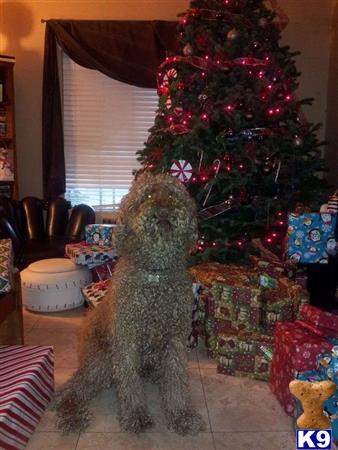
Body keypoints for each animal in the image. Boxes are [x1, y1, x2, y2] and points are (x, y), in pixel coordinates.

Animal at [56, 172, 203, 436]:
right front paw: (135, 416)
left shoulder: (175, 341)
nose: (163, 211)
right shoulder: (126, 341)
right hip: (102, 362)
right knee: (74, 387)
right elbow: (130, 384)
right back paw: (70, 413)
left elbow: (176, 383)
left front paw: (181, 416)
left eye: (173, 194)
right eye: (147, 196)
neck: (155, 275)